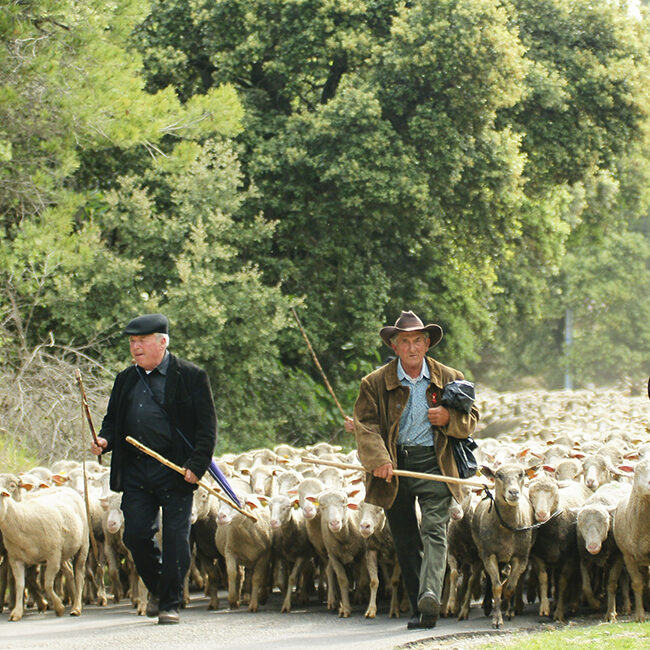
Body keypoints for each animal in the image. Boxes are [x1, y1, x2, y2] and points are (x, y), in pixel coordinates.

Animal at [0, 474, 88, 620]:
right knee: (69, 572)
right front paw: (17, 612)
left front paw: (58, 607)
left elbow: (47, 584)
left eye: (13, 486)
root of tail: (69, 489)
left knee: (79, 574)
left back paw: (76, 607)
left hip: (83, 545)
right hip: (63, 552)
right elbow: (20, 584)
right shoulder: (15, 558)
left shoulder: (53, 556)